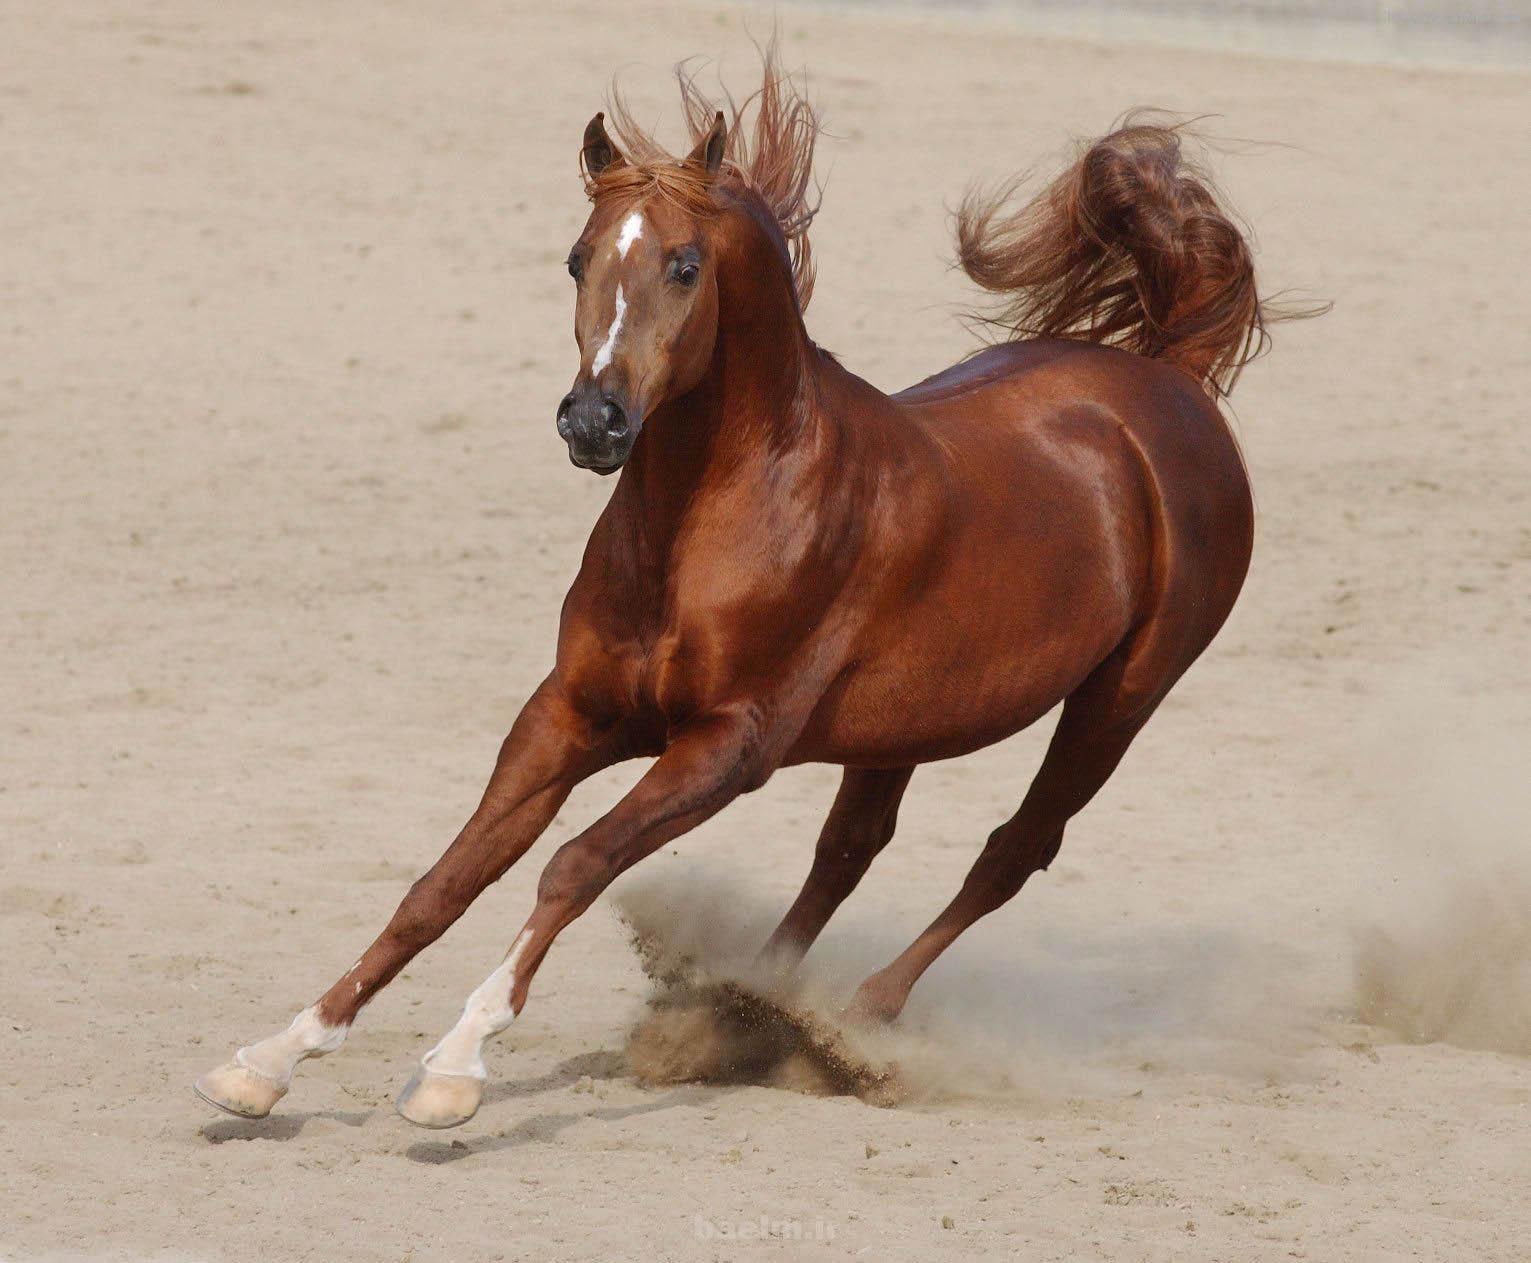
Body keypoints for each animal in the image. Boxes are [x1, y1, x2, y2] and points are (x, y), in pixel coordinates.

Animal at [196, 48, 1291, 1130]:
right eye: (576, 260)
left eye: (684, 265)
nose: (591, 421)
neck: (707, 523)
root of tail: (1169, 382)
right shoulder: (569, 712)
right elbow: (443, 881)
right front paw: (269, 1060)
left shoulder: (729, 742)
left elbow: (573, 864)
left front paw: (454, 1068)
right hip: (908, 722)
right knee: (850, 848)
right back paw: (747, 1008)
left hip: (1120, 699)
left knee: (1012, 848)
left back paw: (854, 1023)